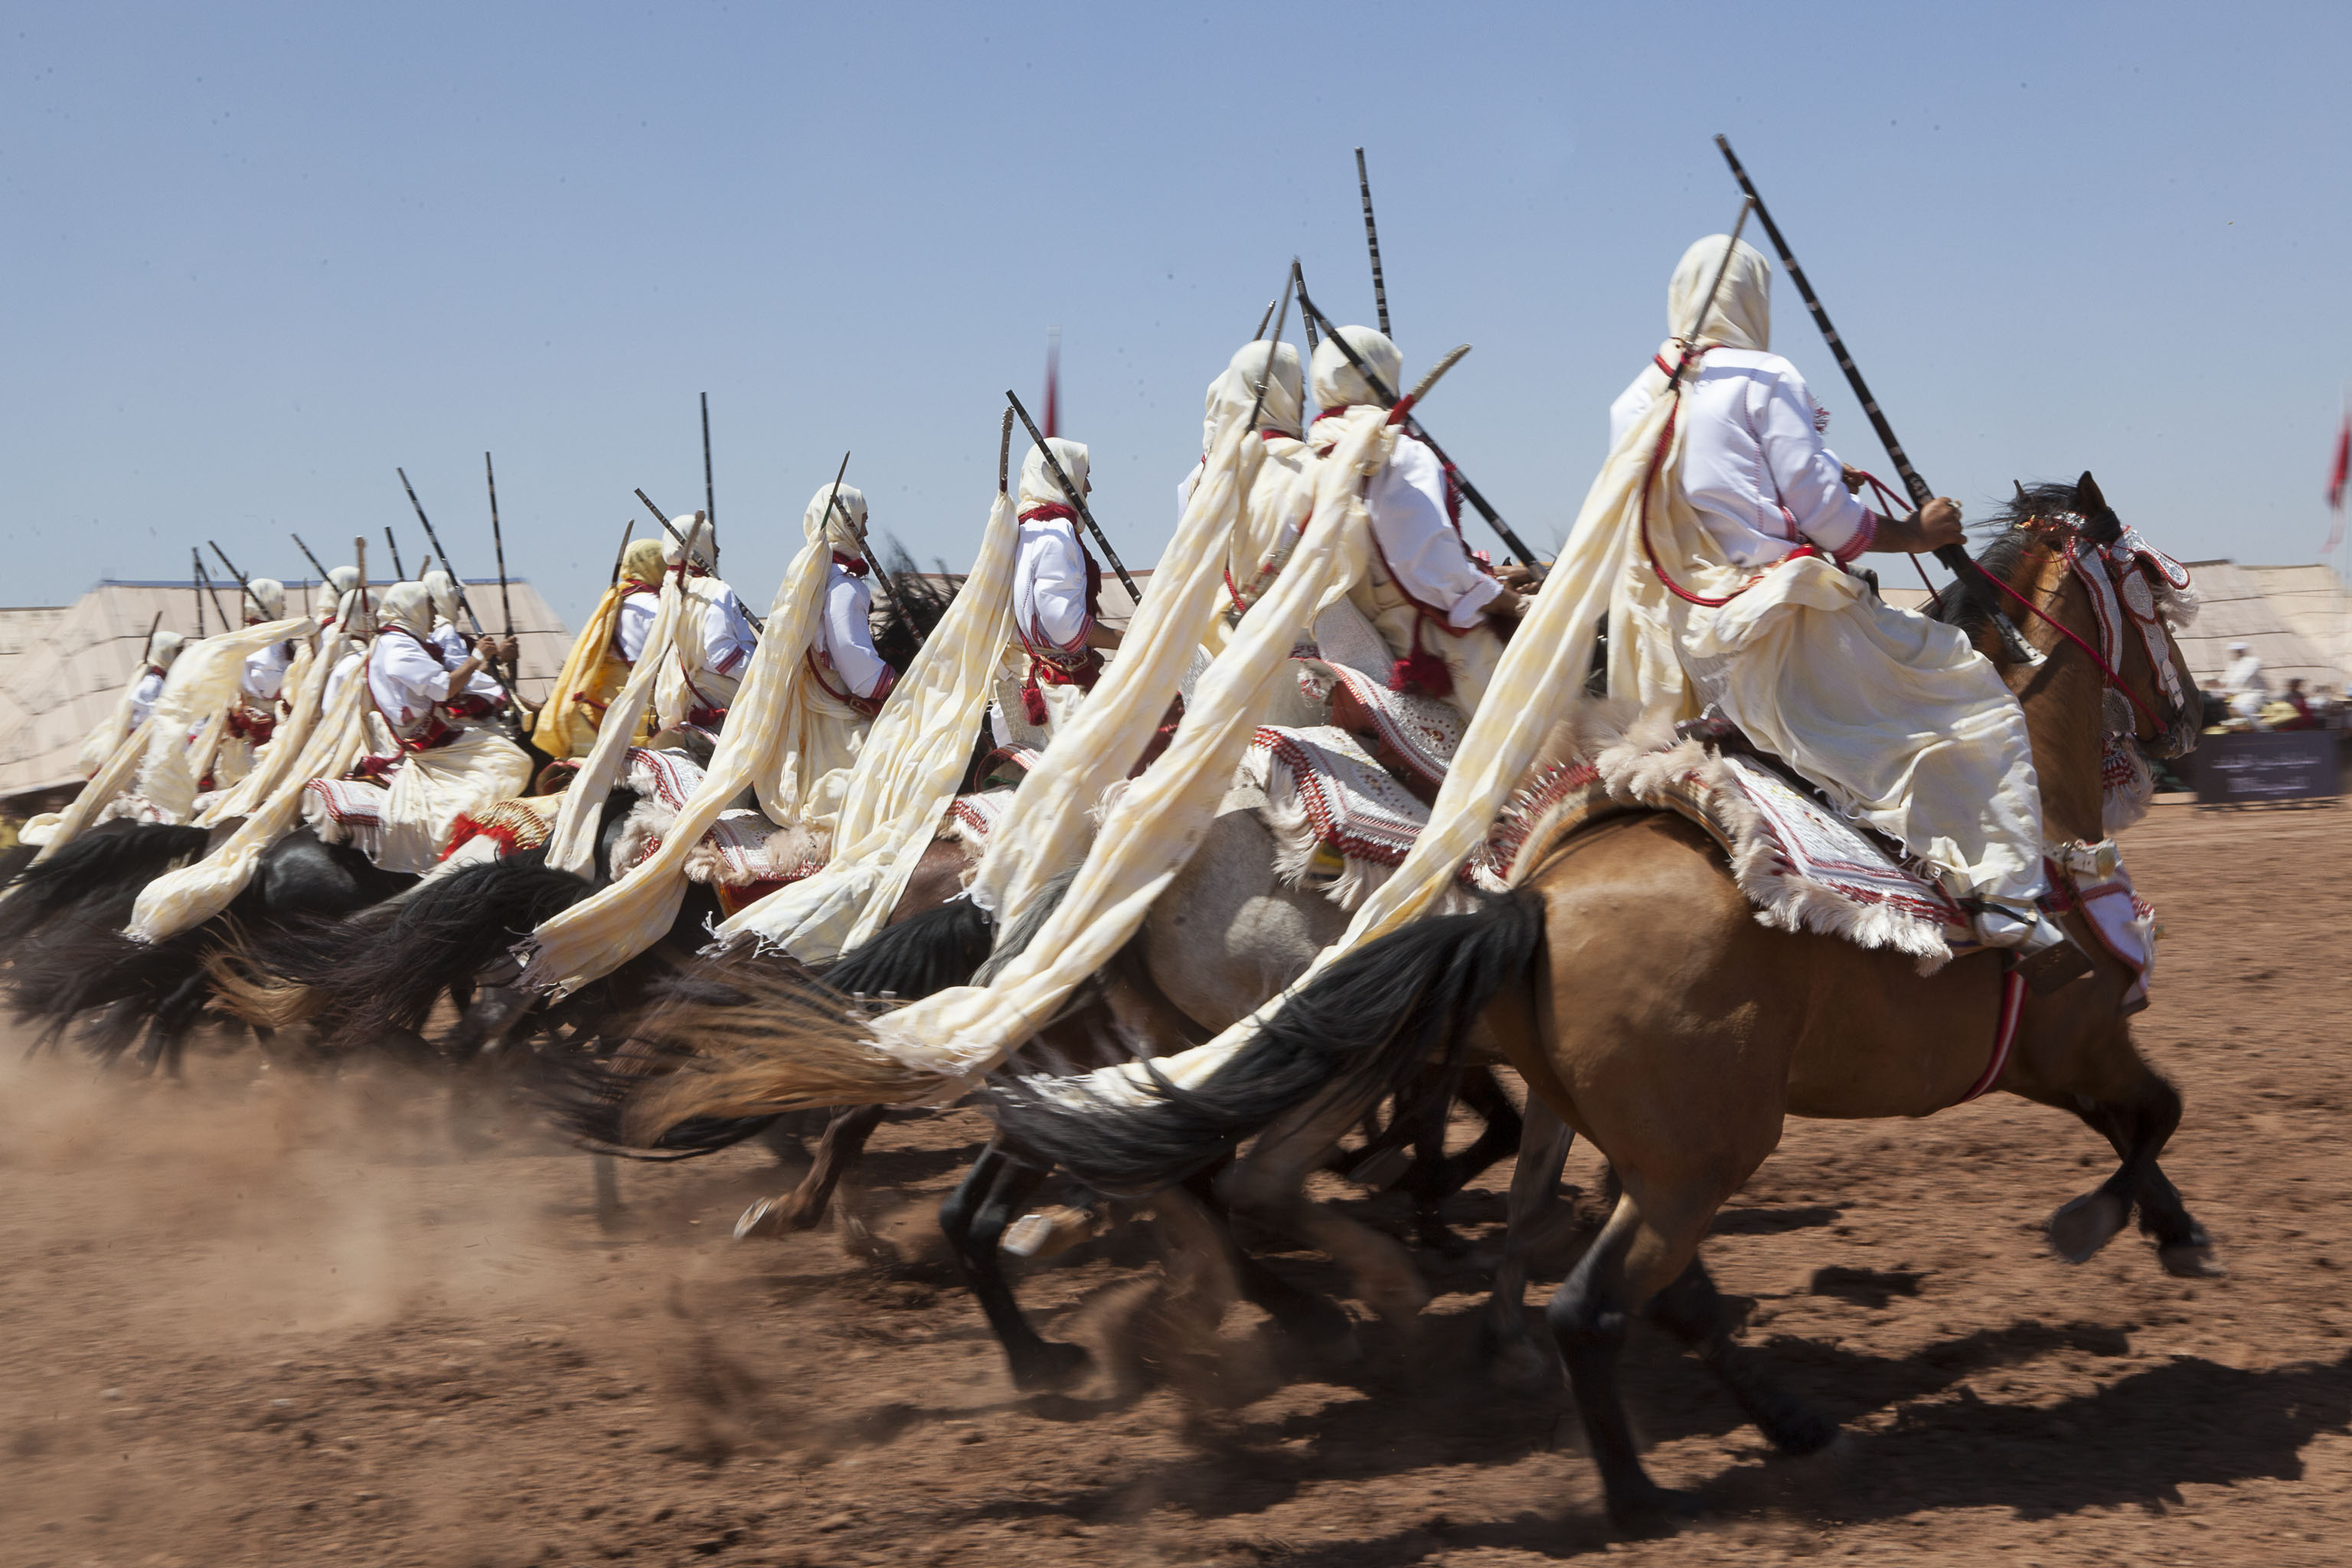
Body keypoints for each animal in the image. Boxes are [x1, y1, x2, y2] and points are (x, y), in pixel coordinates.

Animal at [1001, 475, 2210, 1532]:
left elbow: (1530, 1193)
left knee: (1219, 1183)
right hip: (1659, 1138)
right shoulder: (2074, 1034)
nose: (2190, 718)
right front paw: (2122, 1227)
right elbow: (2156, 1112)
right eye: (2156, 592)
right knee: (1329, 1209)